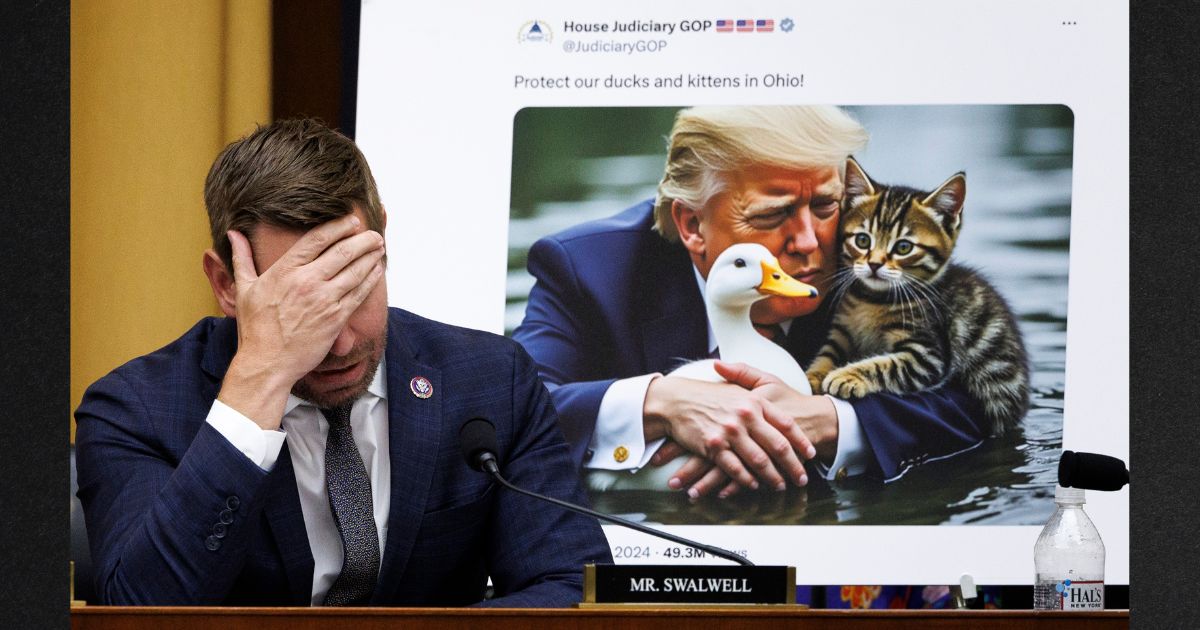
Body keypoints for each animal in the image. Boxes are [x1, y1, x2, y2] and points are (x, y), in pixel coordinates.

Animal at [806, 156, 1032, 436]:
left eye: (904, 247)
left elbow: (885, 365)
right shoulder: (842, 330)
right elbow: (827, 352)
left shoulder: (928, 354)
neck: (872, 300)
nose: (874, 264)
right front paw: (813, 374)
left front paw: (847, 375)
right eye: (862, 240)